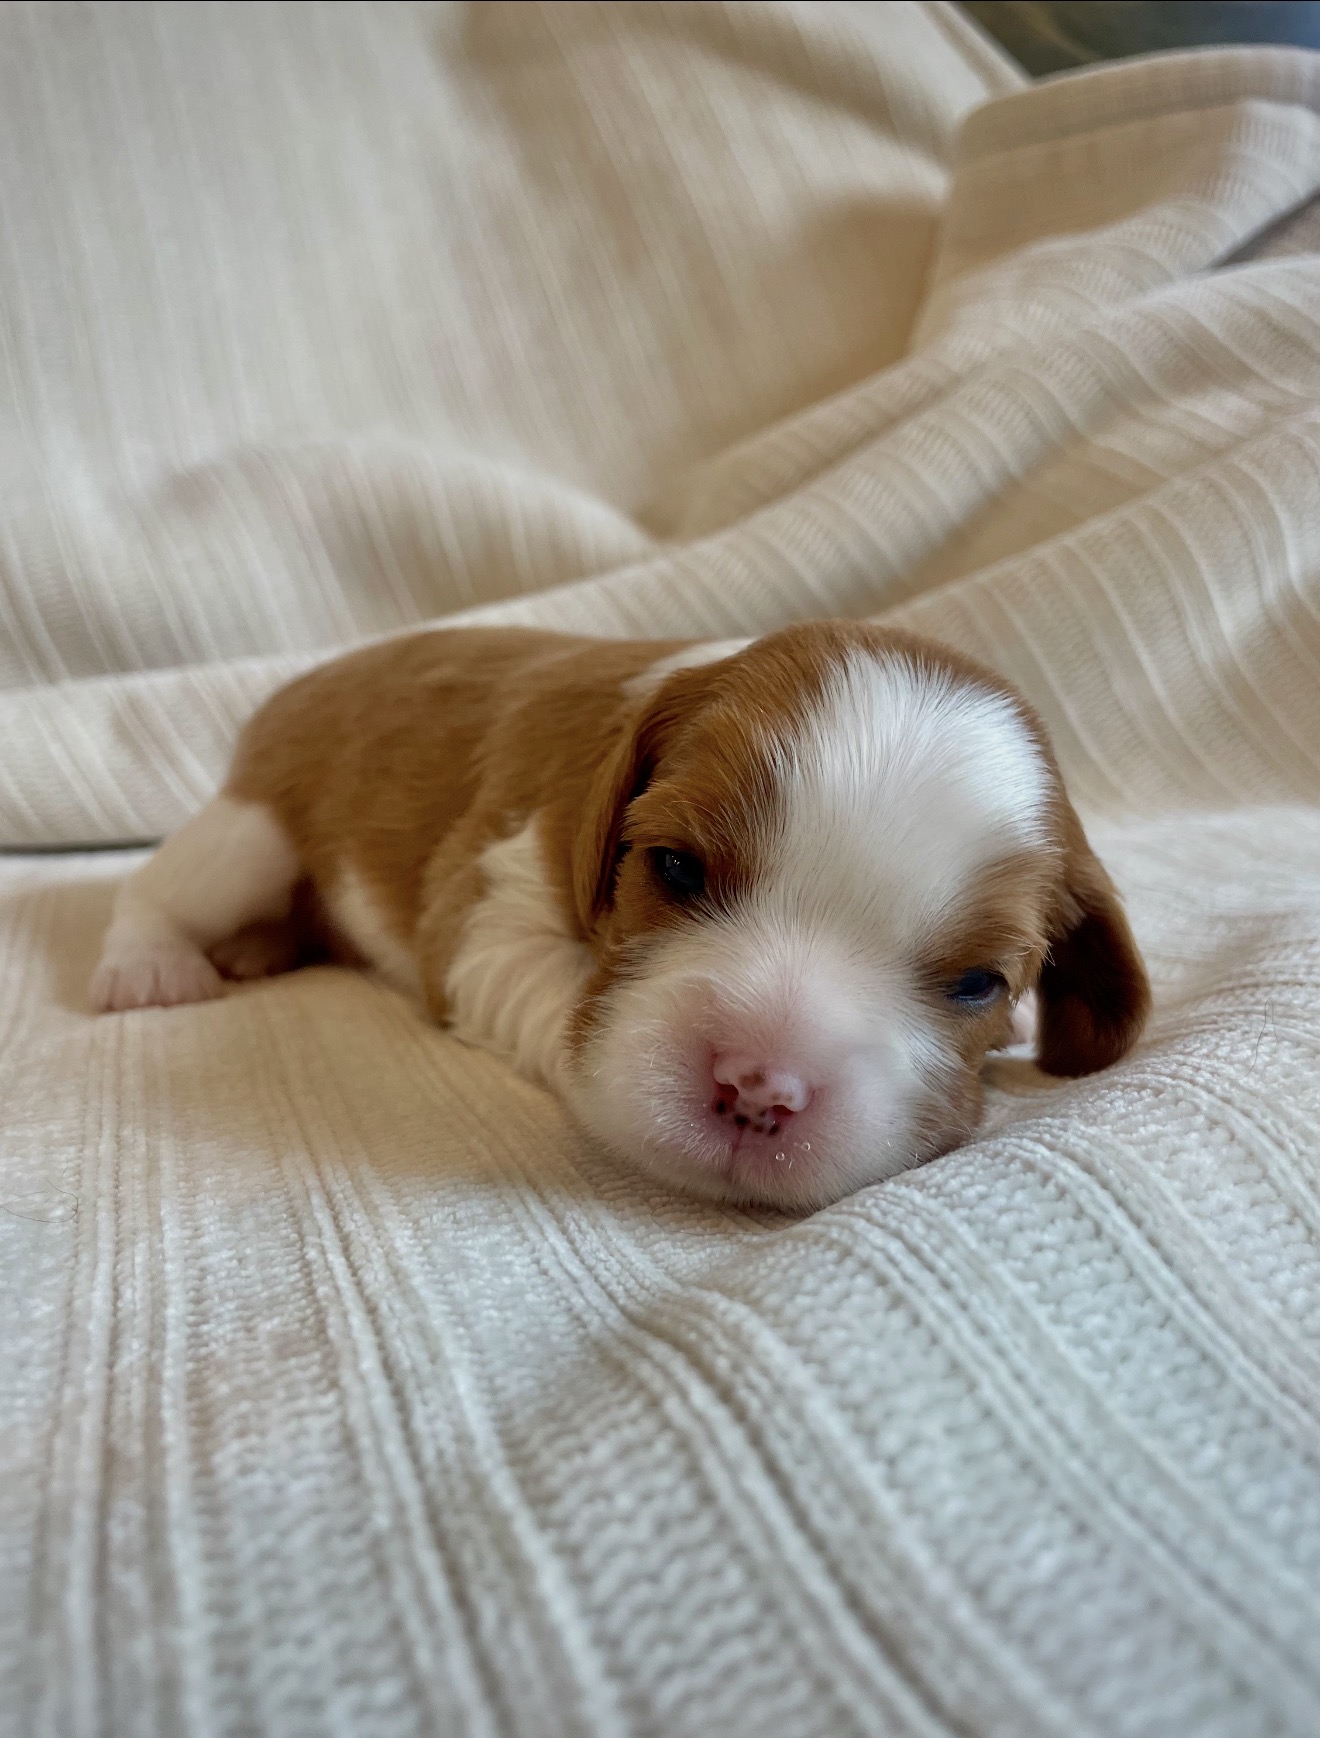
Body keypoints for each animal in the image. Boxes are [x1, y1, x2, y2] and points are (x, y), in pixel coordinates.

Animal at [90, 621, 1150, 1209]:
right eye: (674, 868)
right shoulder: (488, 904)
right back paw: (151, 965)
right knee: (163, 884)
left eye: (978, 984)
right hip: (255, 827)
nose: (758, 1090)